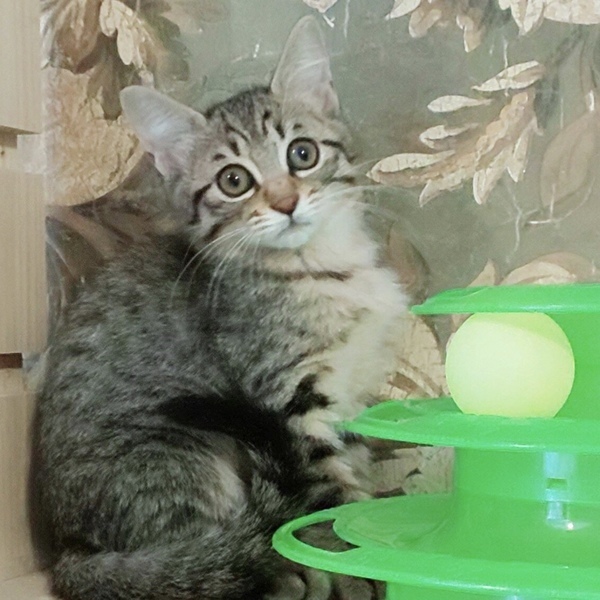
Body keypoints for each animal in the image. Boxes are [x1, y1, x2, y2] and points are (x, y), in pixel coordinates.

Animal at [35, 16, 407, 600]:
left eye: (302, 153)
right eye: (234, 181)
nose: (286, 202)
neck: (322, 270)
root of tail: (68, 551)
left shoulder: (347, 403)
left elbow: (354, 481)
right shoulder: (290, 404)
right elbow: (332, 502)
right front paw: (356, 572)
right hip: (178, 454)